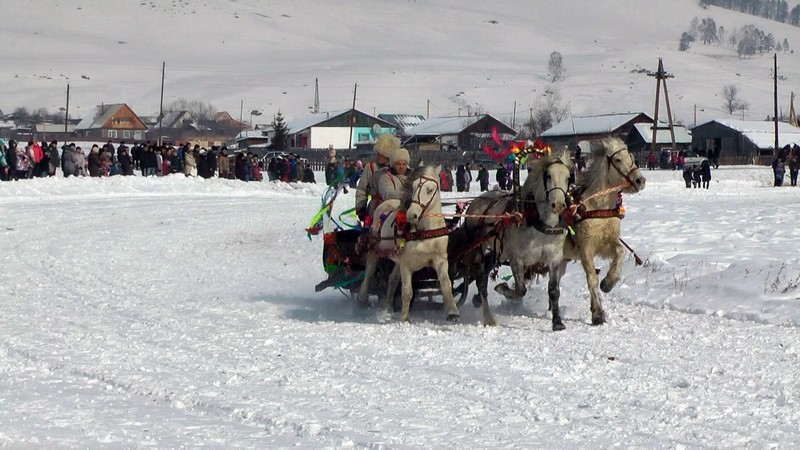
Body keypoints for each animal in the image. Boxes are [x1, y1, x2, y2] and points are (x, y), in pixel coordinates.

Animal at [356, 167, 456, 322]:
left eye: (430, 189)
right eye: (414, 187)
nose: (412, 215)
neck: (425, 231)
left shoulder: (440, 260)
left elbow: (446, 285)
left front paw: (452, 312)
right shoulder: (407, 264)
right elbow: (407, 291)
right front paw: (404, 318)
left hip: (397, 259)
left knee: (392, 280)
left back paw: (389, 307)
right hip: (375, 250)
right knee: (369, 272)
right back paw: (363, 297)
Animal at [462, 149, 576, 328]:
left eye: (568, 177)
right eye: (548, 176)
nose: (558, 205)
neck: (539, 224)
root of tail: (477, 202)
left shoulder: (555, 258)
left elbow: (553, 290)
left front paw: (557, 321)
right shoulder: (517, 258)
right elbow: (521, 289)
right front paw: (503, 289)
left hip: (497, 253)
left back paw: (477, 301)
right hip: (481, 251)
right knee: (481, 282)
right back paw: (488, 317)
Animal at [560, 135, 648, 326]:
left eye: (631, 156)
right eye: (617, 159)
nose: (640, 180)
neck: (597, 207)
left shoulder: (606, 243)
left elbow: (620, 252)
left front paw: (608, 282)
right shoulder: (586, 249)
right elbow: (592, 278)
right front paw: (598, 313)